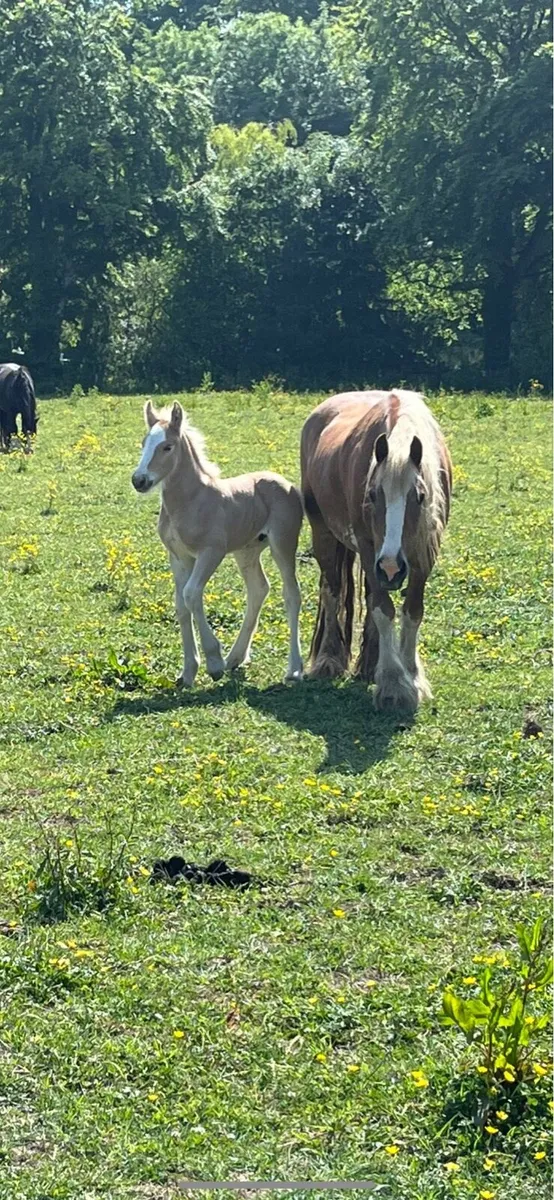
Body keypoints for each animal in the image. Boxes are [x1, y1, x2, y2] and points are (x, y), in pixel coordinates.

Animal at [132, 400, 304, 685]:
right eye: (144, 442)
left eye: (167, 446)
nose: (139, 480)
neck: (190, 501)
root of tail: (287, 484)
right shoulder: (179, 557)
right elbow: (181, 604)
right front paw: (188, 672)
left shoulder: (211, 552)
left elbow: (191, 594)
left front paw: (213, 662)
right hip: (247, 551)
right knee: (258, 589)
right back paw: (236, 657)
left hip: (283, 544)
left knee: (291, 595)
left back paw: (294, 669)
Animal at [300, 389, 452, 711]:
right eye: (371, 494)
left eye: (420, 496)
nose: (392, 567)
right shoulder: (371, 550)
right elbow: (383, 609)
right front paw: (395, 685)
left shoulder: (423, 553)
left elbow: (411, 611)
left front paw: (412, 677)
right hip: (326, 536)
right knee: (332, 592)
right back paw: (329, 660)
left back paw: (371, 666)